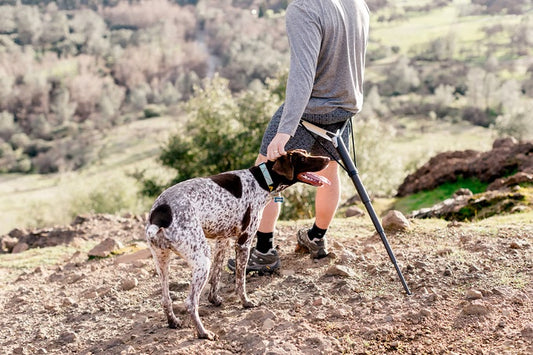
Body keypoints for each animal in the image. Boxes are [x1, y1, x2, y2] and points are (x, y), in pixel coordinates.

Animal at [145, 149, 328, 340]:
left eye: (306, 153)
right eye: (302, 158)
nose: (327, 158)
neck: (261, 180)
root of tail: (159, 214)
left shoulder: (222, 240)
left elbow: (216, 275)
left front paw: (214, 299)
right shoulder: (243, 243)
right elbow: (240, 281)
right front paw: (245, 302)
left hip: (162, 262)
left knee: (166, 298)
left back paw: (173, 322)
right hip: (202, 259)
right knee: (190, 302)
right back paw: (203, 332)